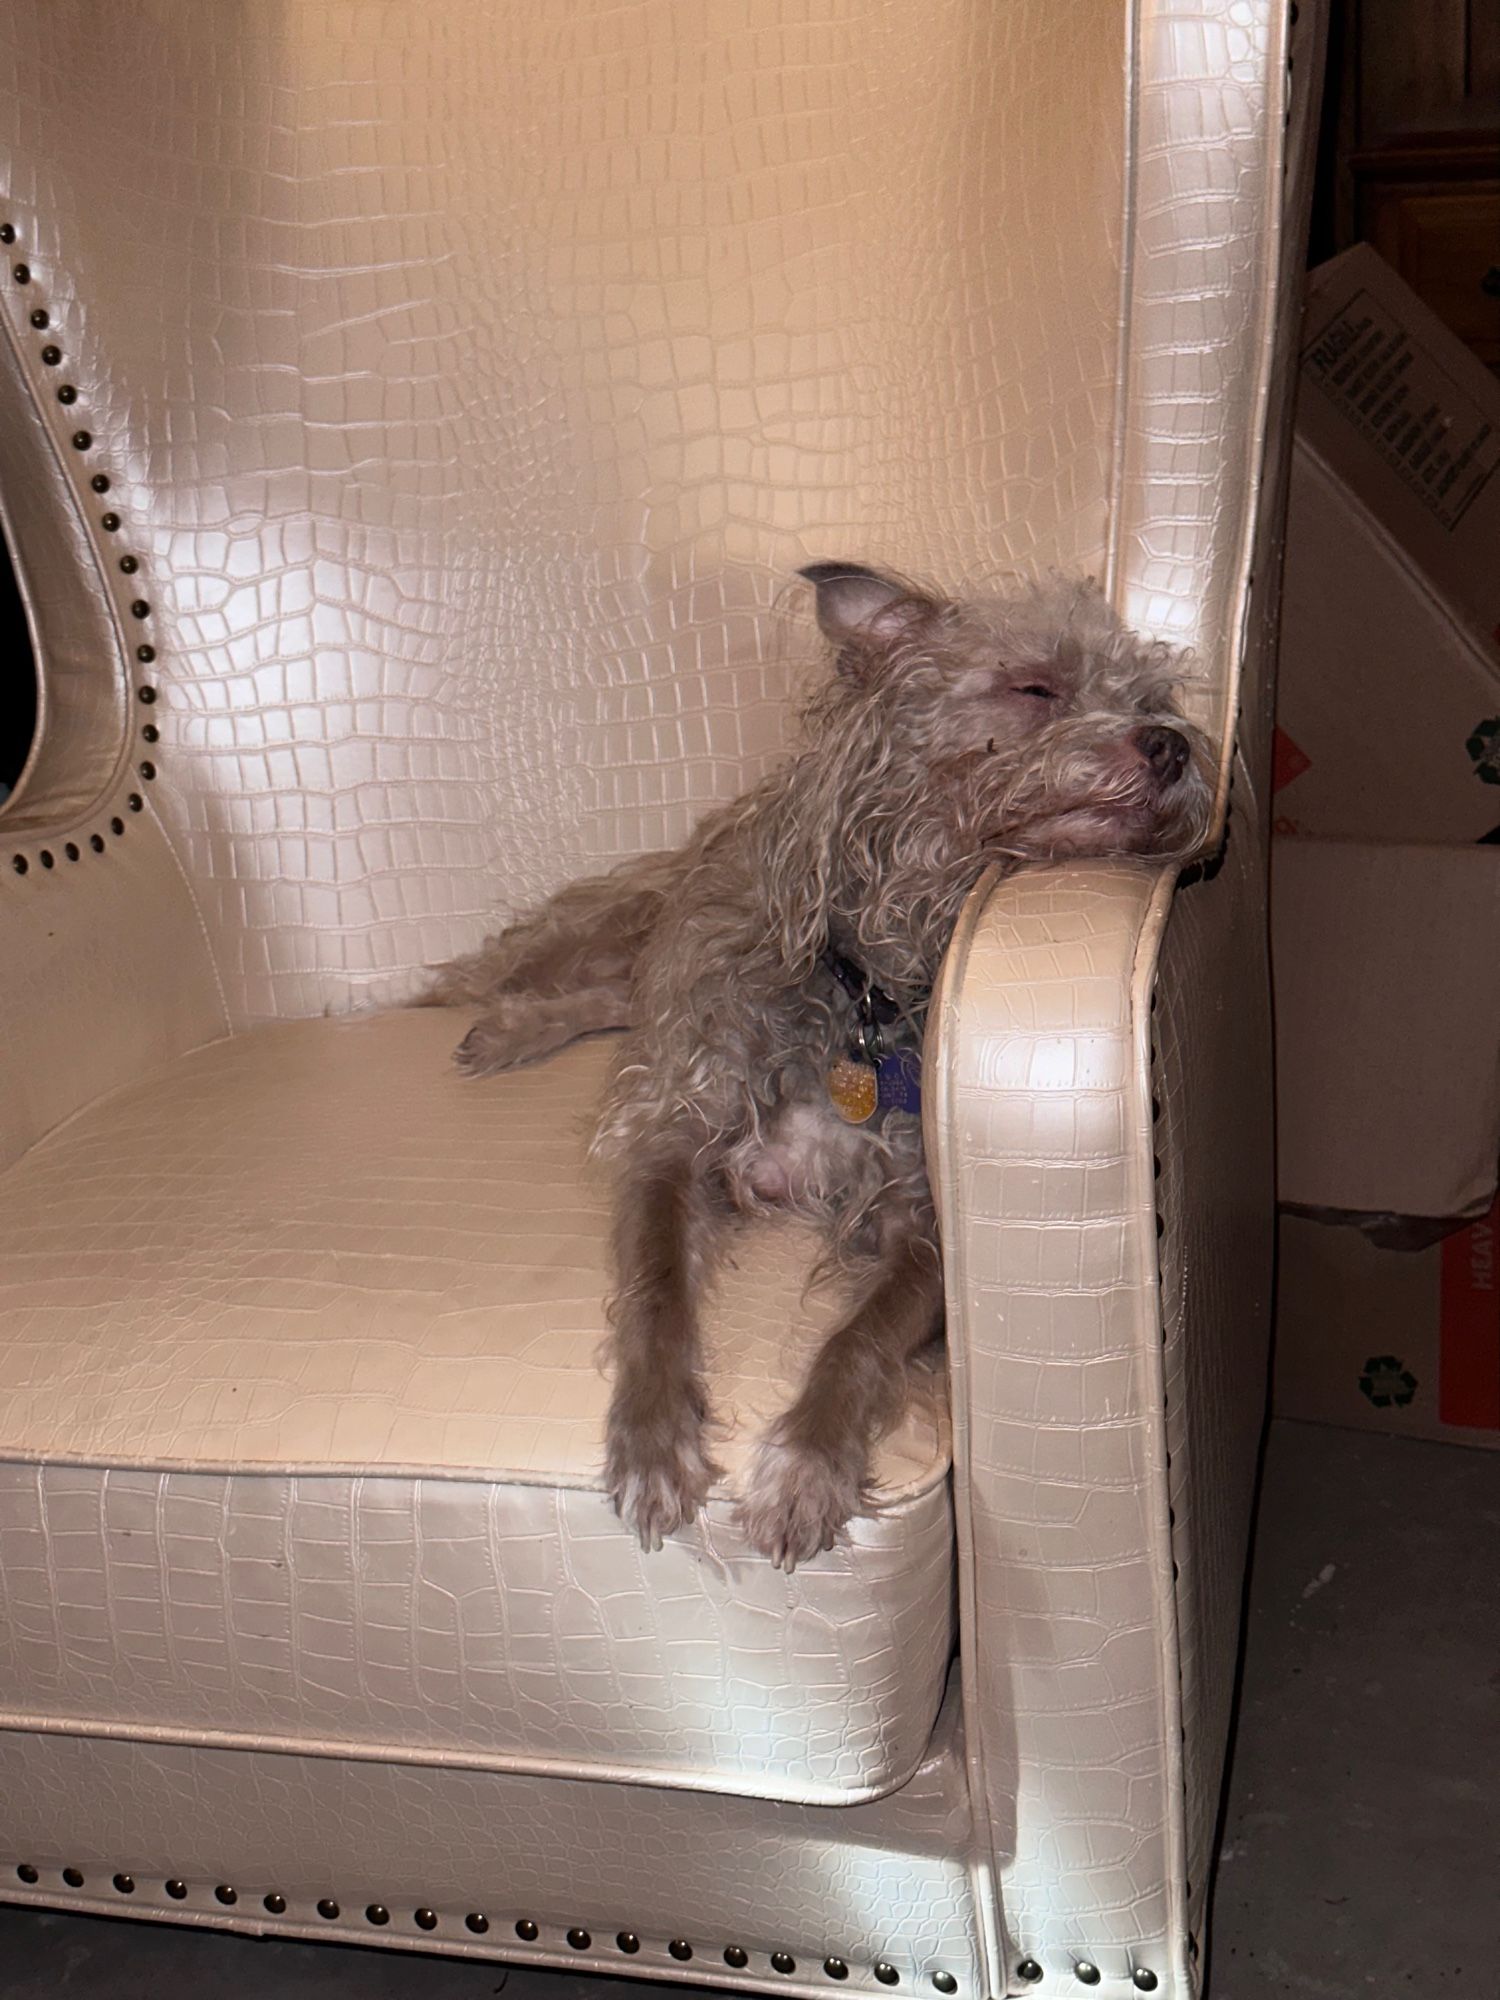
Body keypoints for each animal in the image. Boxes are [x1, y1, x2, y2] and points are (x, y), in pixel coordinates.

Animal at [432, 564, 1224, 1560]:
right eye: (1035, 687)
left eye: (1153, 701)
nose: (1171, 745)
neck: (871, 988)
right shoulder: (675, 1137)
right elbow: (657, 1290)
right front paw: (653, 1441)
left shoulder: (923, 1219)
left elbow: (858, 1340)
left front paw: (807, 1465)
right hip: (644, 934)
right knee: (594, 982)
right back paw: (505, 1027)